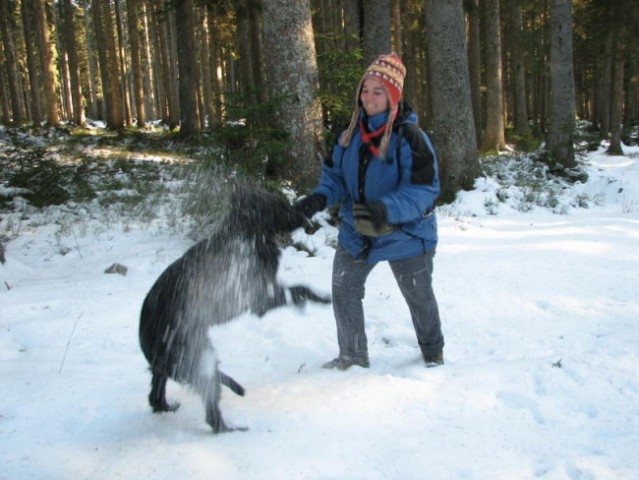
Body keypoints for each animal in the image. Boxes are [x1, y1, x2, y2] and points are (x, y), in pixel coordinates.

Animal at [140, 186, 330, 434]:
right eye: (279, 206)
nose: (306, 221)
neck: (247, 232)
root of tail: (144, 335)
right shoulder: (260, 296)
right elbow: (300, 289)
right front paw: (322, 298)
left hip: (175, 363)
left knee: (155, 394)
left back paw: (167, 406)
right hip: (199, 359)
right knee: (211, 413)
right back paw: (230, 429)